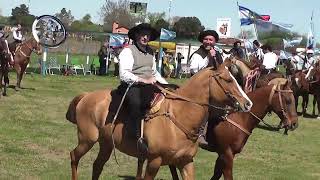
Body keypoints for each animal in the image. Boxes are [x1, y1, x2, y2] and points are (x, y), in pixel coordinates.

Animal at [65, 64, 252, 180]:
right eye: (228, 80)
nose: (248, 103)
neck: (179, 117)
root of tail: (86, 96)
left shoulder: (186, 162)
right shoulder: (154, 162)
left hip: (106, 144)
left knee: (97, 165)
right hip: (87, 139)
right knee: (74, 156)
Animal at [169, 78, 298, 180]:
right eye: (288, 100)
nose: (294, 124)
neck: (240, 117)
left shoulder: (225, 154)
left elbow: (216, 174)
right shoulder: (227, 154)